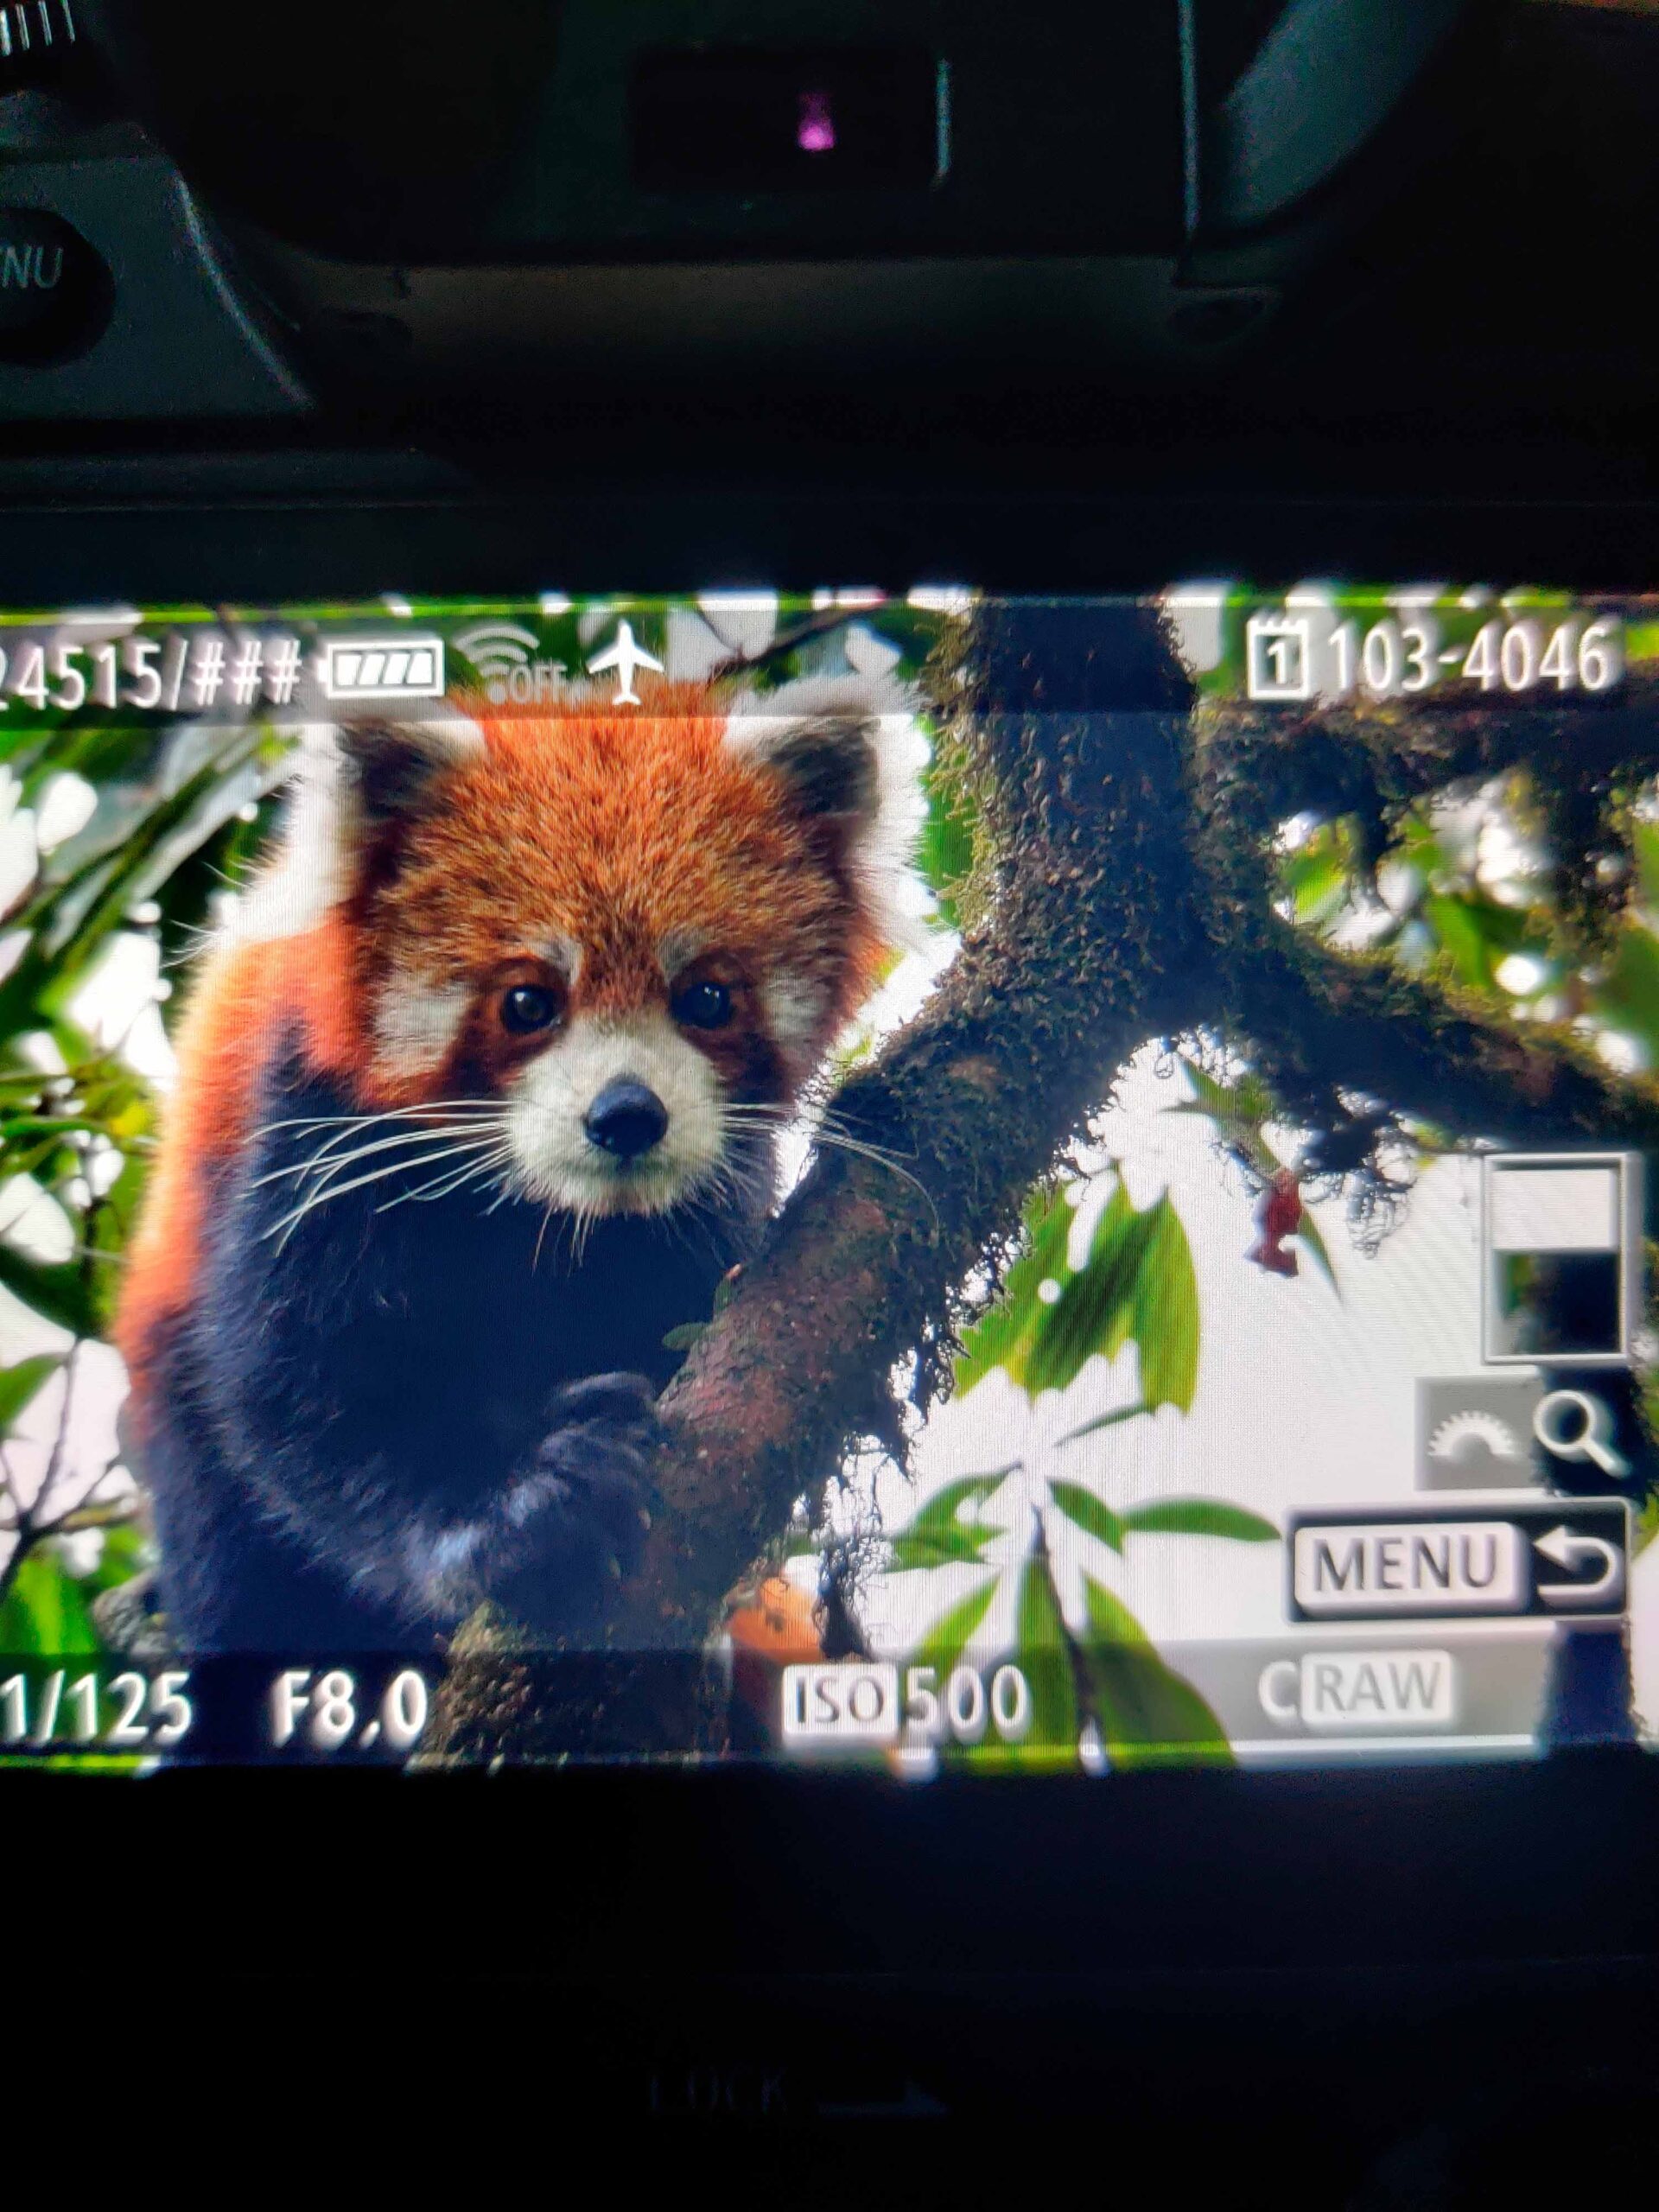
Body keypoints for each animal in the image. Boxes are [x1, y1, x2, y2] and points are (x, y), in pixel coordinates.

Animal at [113, 677, 925, 1663]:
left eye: (707, 997)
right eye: (529, 1002)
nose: (626, 1115)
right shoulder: (311, 1133)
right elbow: (307, 1388)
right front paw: (510, 1518)